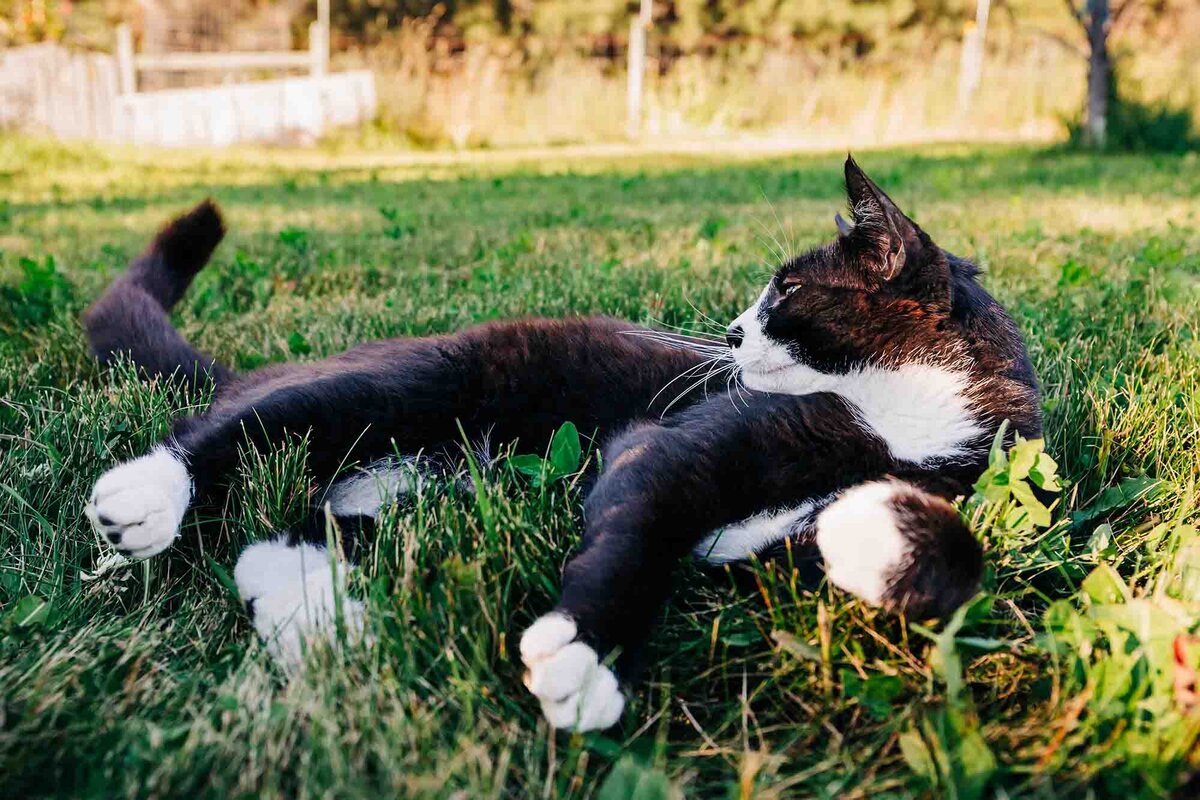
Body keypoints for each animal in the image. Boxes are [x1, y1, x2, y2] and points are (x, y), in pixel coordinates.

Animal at [84, 155, 1041, 734]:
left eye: (790, 291)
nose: (732, 334)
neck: (893, 408)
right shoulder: (677, 447)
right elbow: (639, 523)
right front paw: (584, 656)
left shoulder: (935, 477)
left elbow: (951, 554)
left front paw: (873, 532)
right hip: (414, 383)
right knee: (236, 426)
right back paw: (145, 500)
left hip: (411, 484)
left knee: (291, 532)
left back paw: (318, 619)